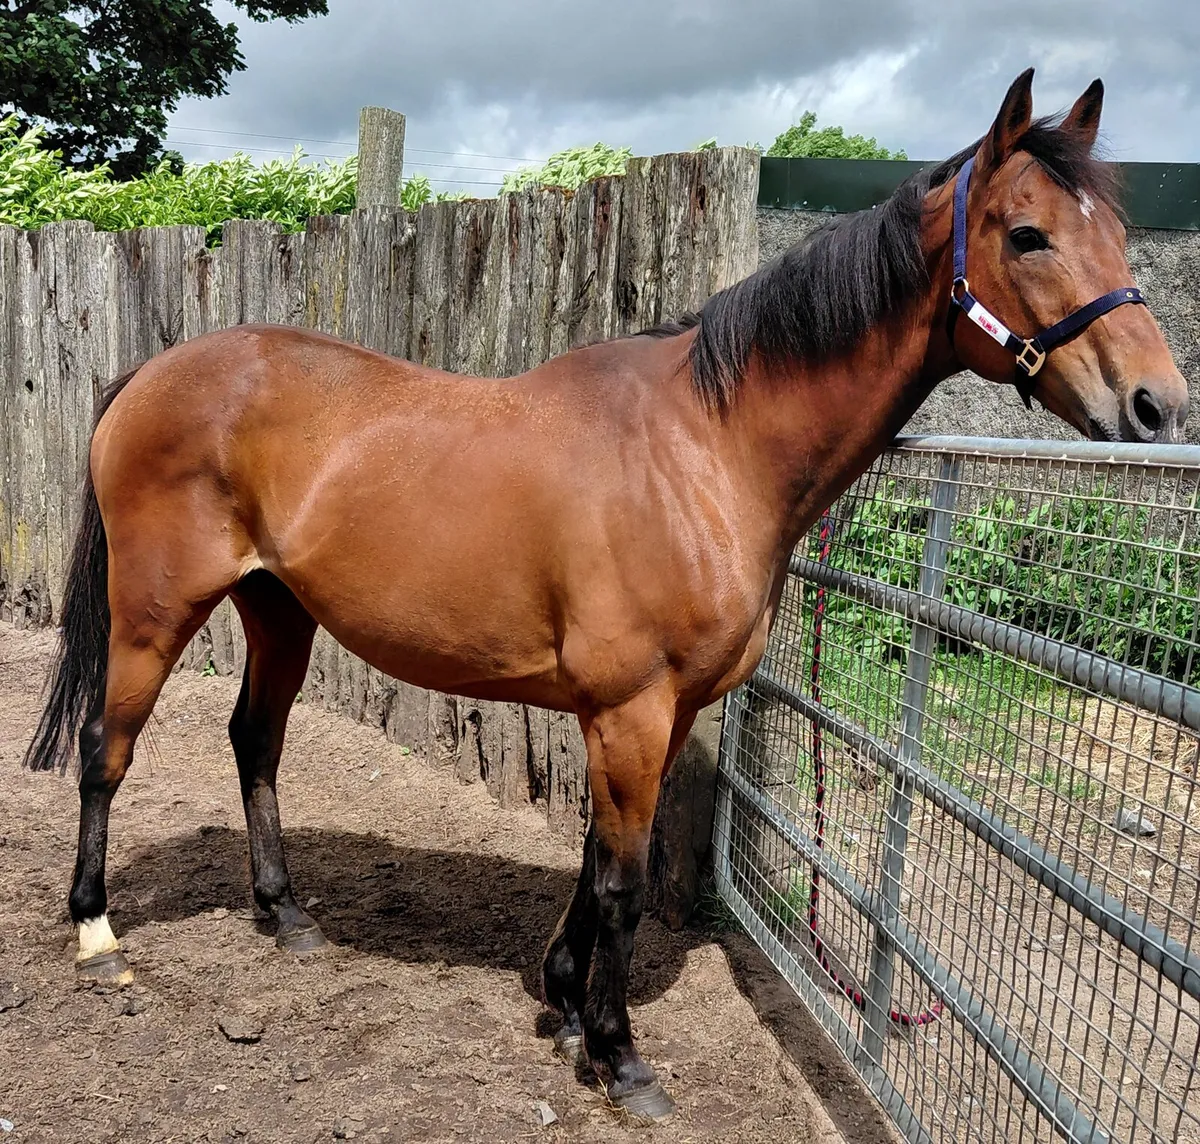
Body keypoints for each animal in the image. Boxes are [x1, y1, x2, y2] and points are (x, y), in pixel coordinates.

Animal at [23, 69, 1188, 1120]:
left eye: (1120, 232)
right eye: (1028, 234)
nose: (1156, 405)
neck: (704, 449)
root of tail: (149, 375)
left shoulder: (655, 715)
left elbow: (593, 864)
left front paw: (569, 1007)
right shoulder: (628, 710)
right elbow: (623, 883)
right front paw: (621, 1059)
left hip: (279, 610)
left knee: (254, 742)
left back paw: (285, 914)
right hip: (154, 614)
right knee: (106, 748)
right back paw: (96, 934)